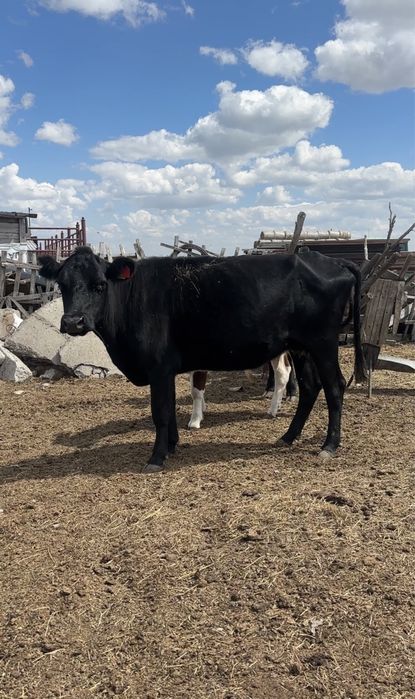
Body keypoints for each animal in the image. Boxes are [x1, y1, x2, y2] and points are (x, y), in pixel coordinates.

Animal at [39, 247, 366, 472]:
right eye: (62, 285)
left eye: (99, 285)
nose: (73, 322)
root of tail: (329, 260)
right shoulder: (167, 370)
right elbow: (170, 409)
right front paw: (172, 446)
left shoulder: (158, 368)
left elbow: (160, 412)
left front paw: (156, 457)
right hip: (300, 346)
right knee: (310, 386)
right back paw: (288, 436)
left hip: (323, 343)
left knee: (334, 386)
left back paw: (329, 445)